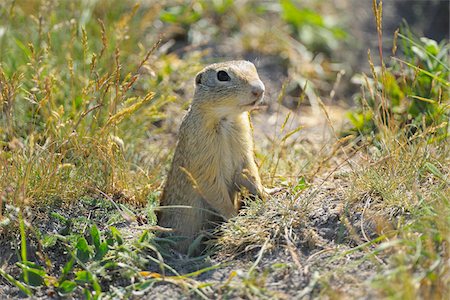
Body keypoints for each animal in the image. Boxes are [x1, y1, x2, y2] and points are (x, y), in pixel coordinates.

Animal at [157, 60, 266, 253]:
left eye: (253, 67)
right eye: (222, 75)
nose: (259, 89)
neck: (226, 119)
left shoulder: (244, 151)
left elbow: (250, 173)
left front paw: (267, 193)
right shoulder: (203, 157)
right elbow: (212, 188)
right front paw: (234, 217)